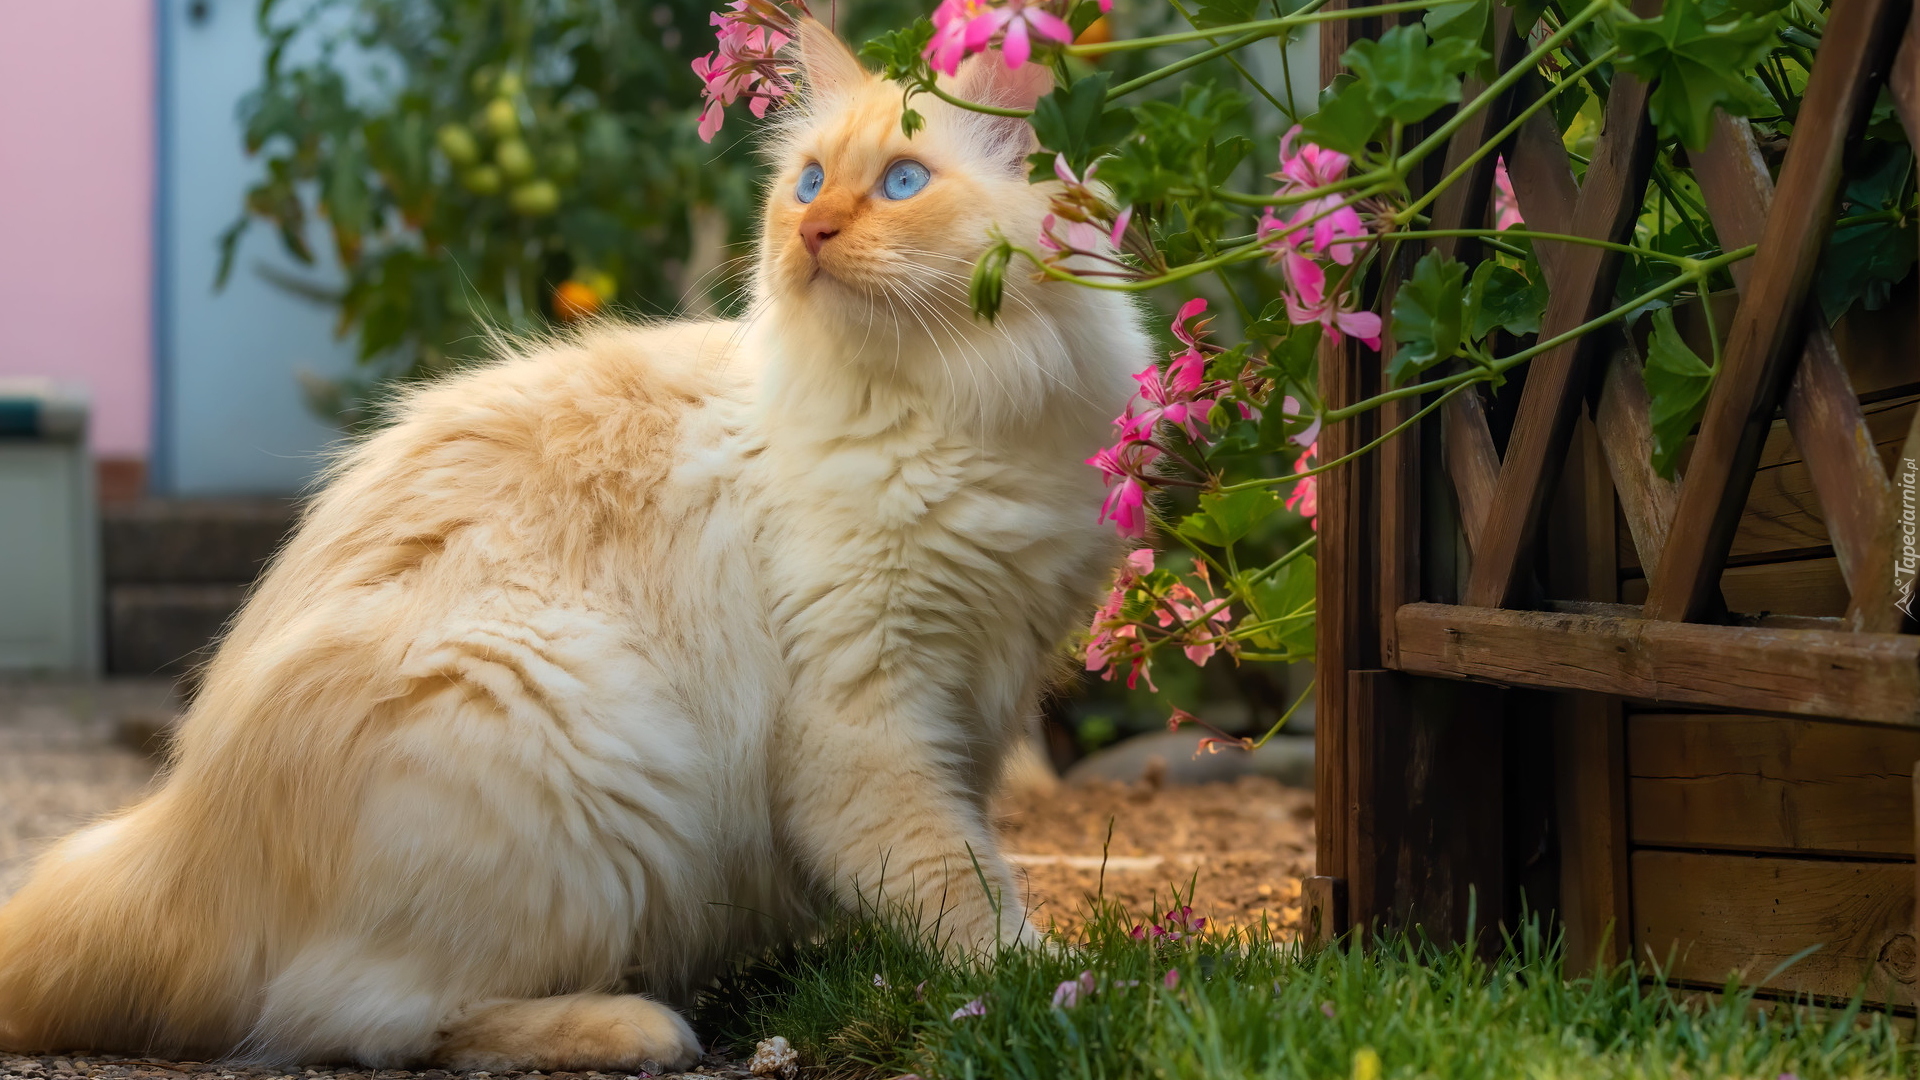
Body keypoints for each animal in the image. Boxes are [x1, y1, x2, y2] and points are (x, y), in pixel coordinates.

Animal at [0, 18, 1136, 1068]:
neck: (949, 412)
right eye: (811, 181)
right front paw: (1050, 987)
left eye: (902, 182)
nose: (812, 231)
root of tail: (182, 838)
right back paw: (641, 1024)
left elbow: (955, 862)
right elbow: (957, 888)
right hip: (563, 722)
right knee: (359, 1019)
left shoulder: (978, 697)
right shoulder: (867, 716)